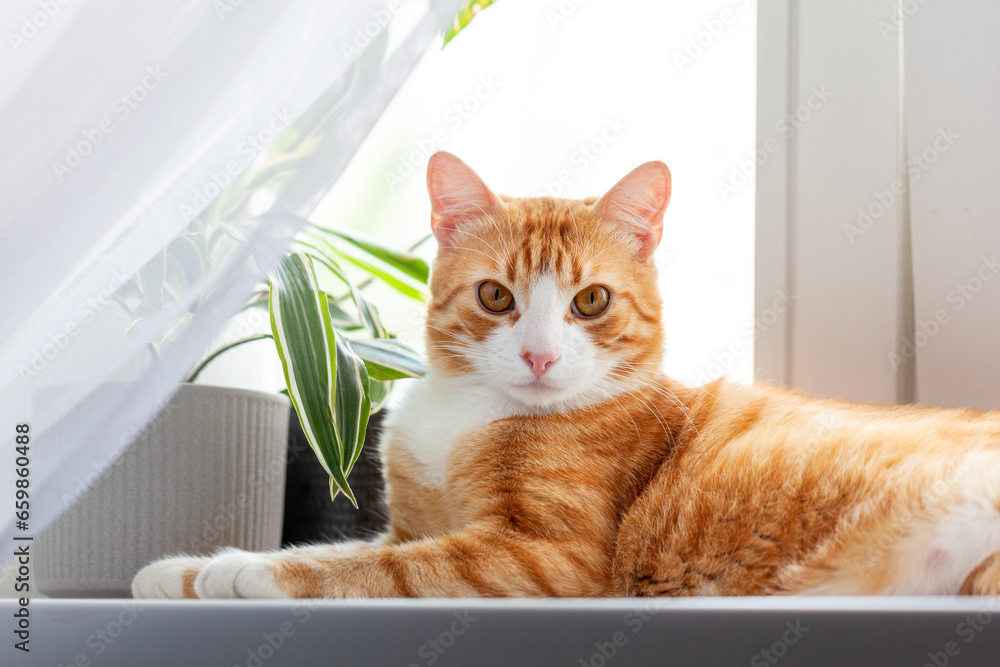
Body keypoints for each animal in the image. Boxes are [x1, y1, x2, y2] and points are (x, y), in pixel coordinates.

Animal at [137, 155, 1000, 600]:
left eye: (590, 301)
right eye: (496, 297)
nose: (541, 356)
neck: (467, 411)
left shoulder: (540, 553)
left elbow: (364, 566)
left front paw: (240, 571)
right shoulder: (410, 523)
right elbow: (337, 544)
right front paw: (181, 567)